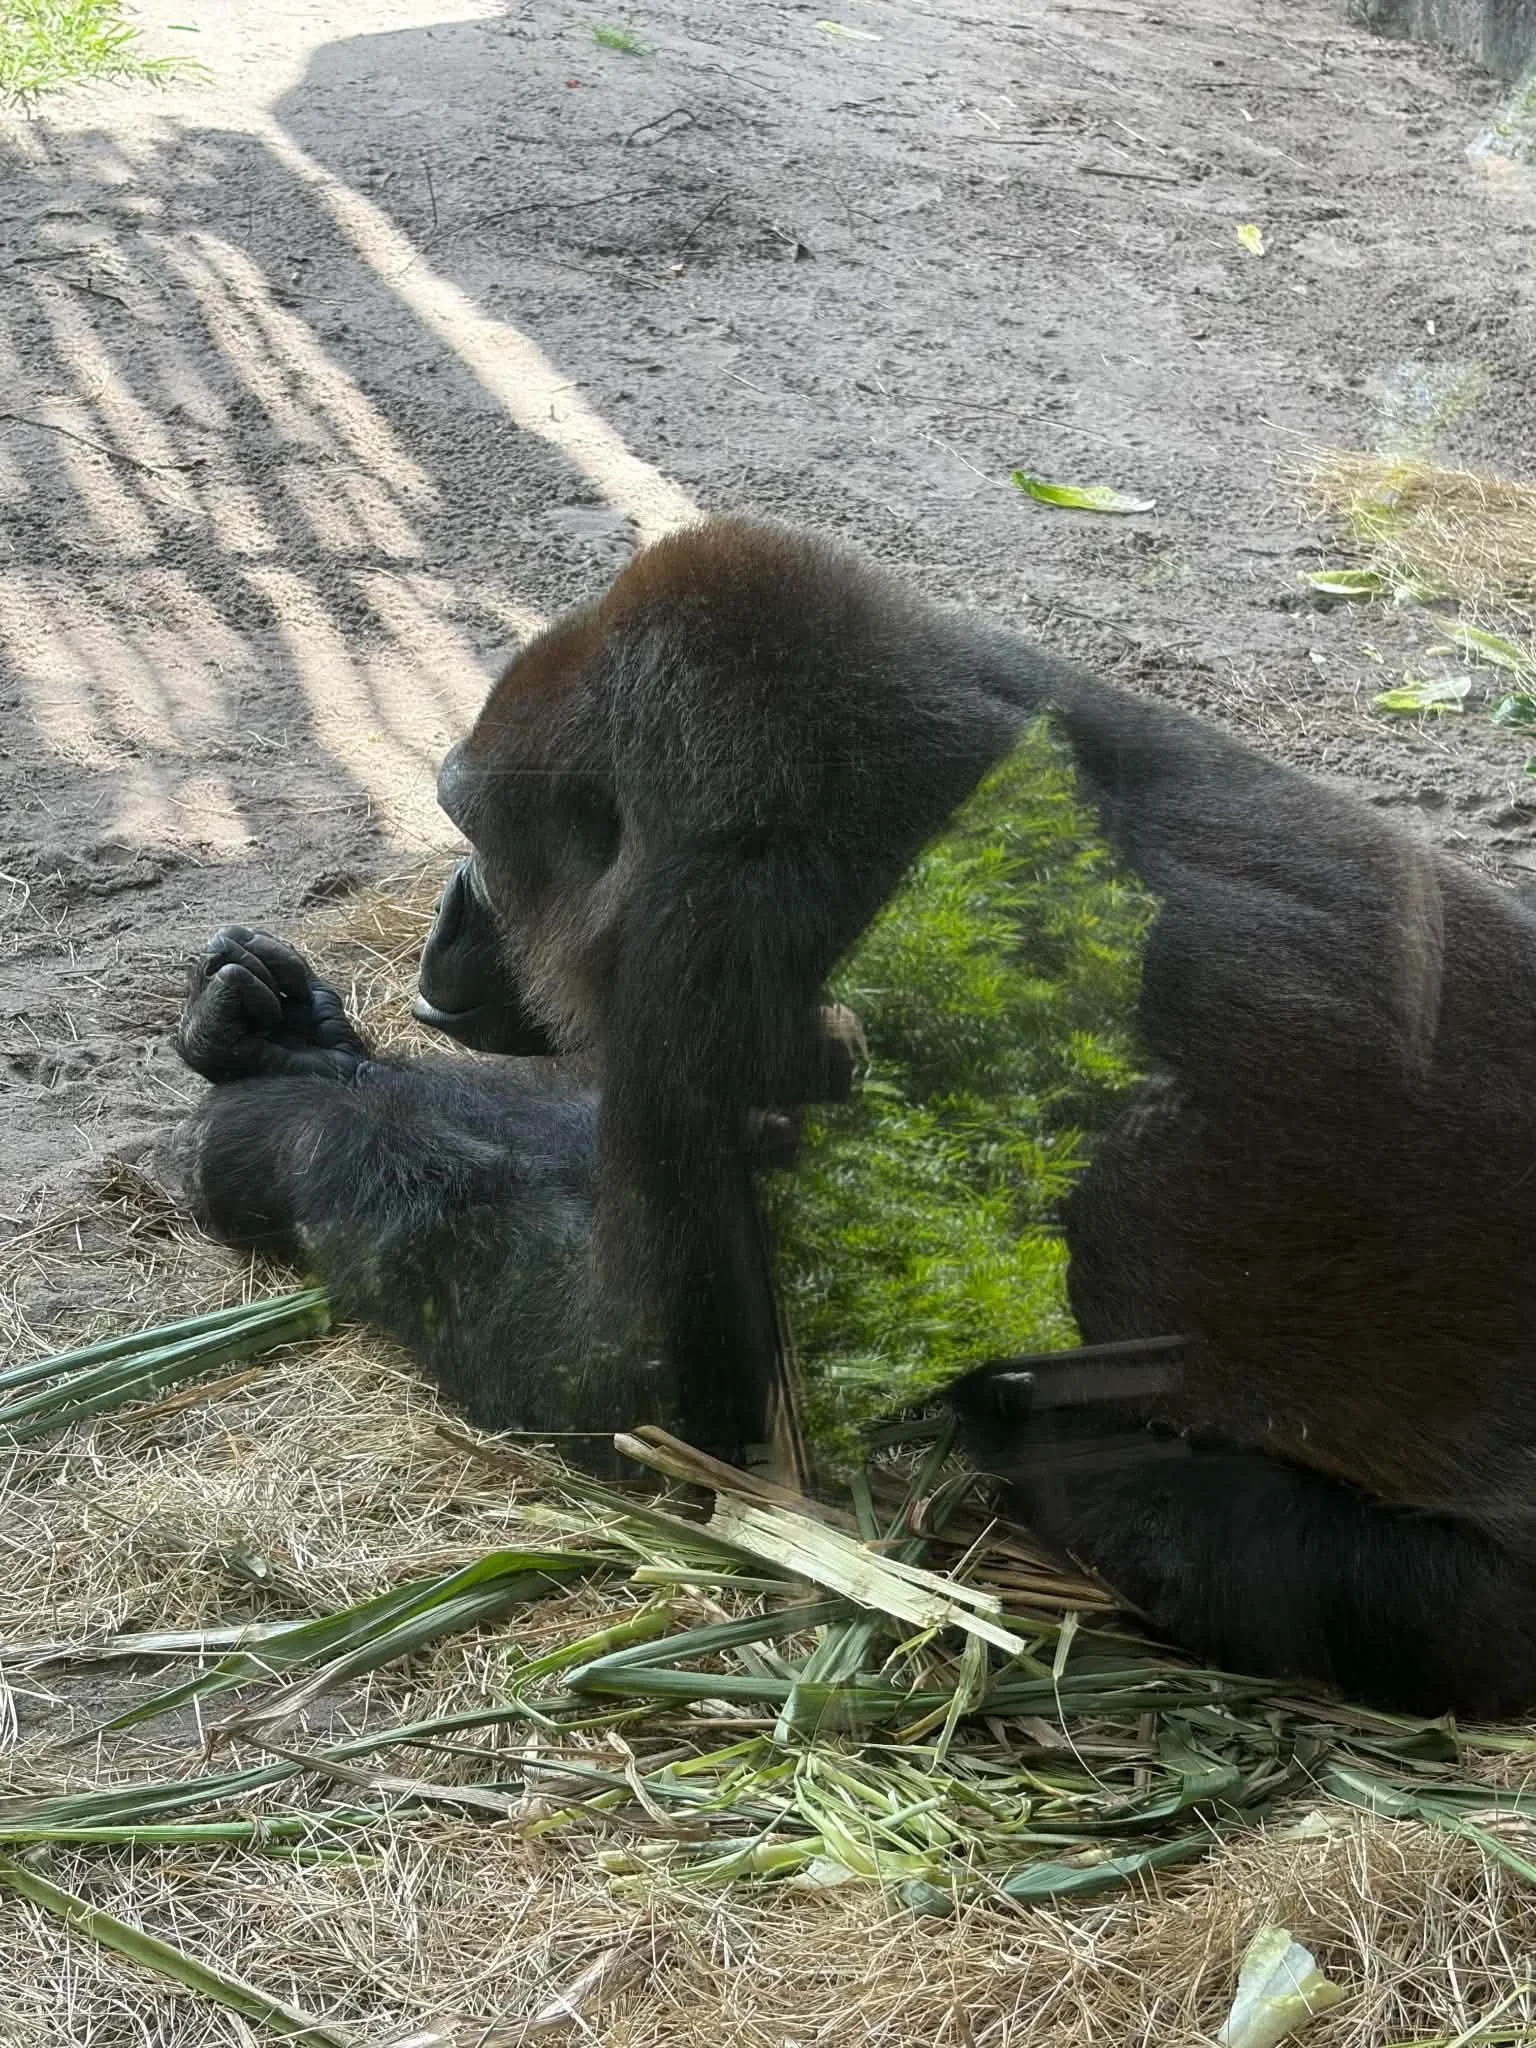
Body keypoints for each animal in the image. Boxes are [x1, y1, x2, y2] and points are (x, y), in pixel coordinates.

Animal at [174, 515, 1536, 1717]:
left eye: (474, 833)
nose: (450, 914)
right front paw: (301, 1048)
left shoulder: (713, 935)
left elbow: (651, 1386)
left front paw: (269, 1138)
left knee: (1109, 1483)